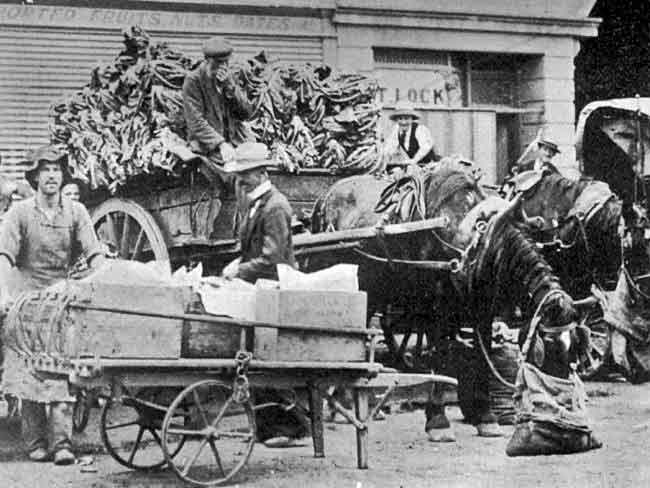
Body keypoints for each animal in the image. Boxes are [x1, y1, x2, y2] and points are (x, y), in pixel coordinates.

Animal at [304, 167, 576, 438]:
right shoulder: (434, 308)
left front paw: (485, 416)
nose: (565, 397)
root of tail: (324, 198)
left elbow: (482, 355)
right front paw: (437, 419)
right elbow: (440, 356)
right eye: (551, 348)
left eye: (571, 348)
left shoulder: (482, 309)